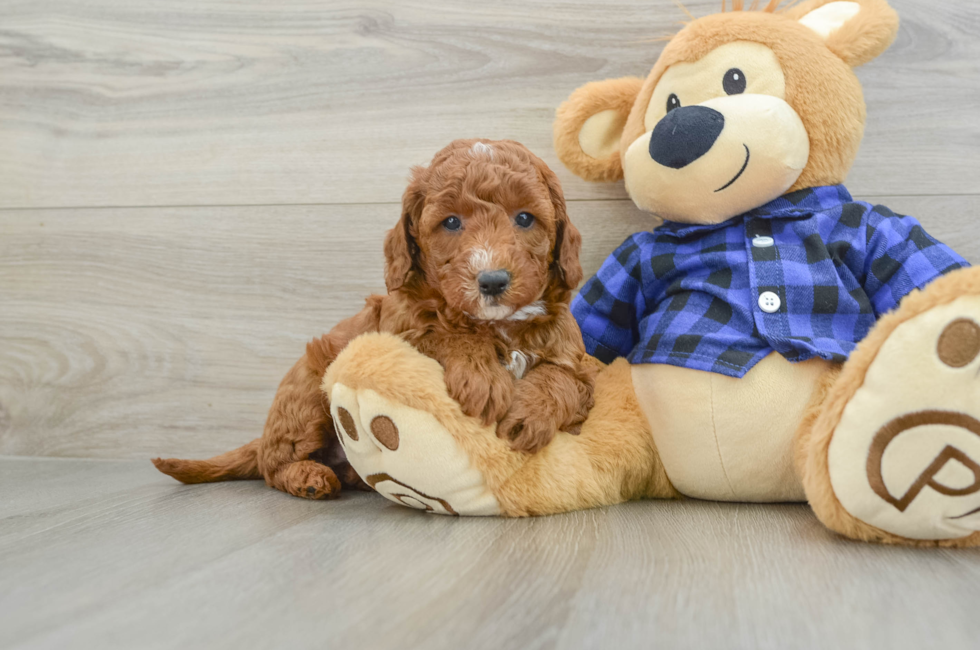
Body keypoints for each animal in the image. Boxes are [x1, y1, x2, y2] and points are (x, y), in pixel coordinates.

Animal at [155, 139, 596, 498]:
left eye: (524, 218)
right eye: (451, 222)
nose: (492, 281)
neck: (496, 323)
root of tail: (263, 437)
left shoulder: (577, 360)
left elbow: (564, 379)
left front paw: (529, 415)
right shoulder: (398, 331)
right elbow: (442, 333)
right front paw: (482, 376)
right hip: (307, 391)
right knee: (271, 465)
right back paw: (307, 477)